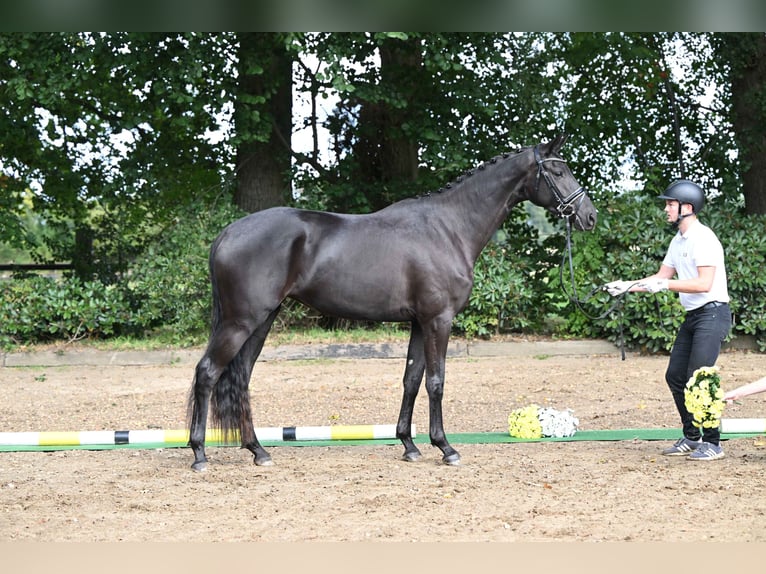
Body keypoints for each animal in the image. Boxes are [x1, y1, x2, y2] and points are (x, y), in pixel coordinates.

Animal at [189, 136, 596, 472]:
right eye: (558, 171)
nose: (588, 216)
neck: (449, 229)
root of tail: (227, 233)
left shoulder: (419, 322)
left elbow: (411, 380)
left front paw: (409, 445)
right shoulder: (439, 320)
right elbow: (436, 381)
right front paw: (445, 448)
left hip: (262, 321)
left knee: (240, 378)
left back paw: (258, 451)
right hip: (242, 321)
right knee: (208, 372)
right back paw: (199, 454)